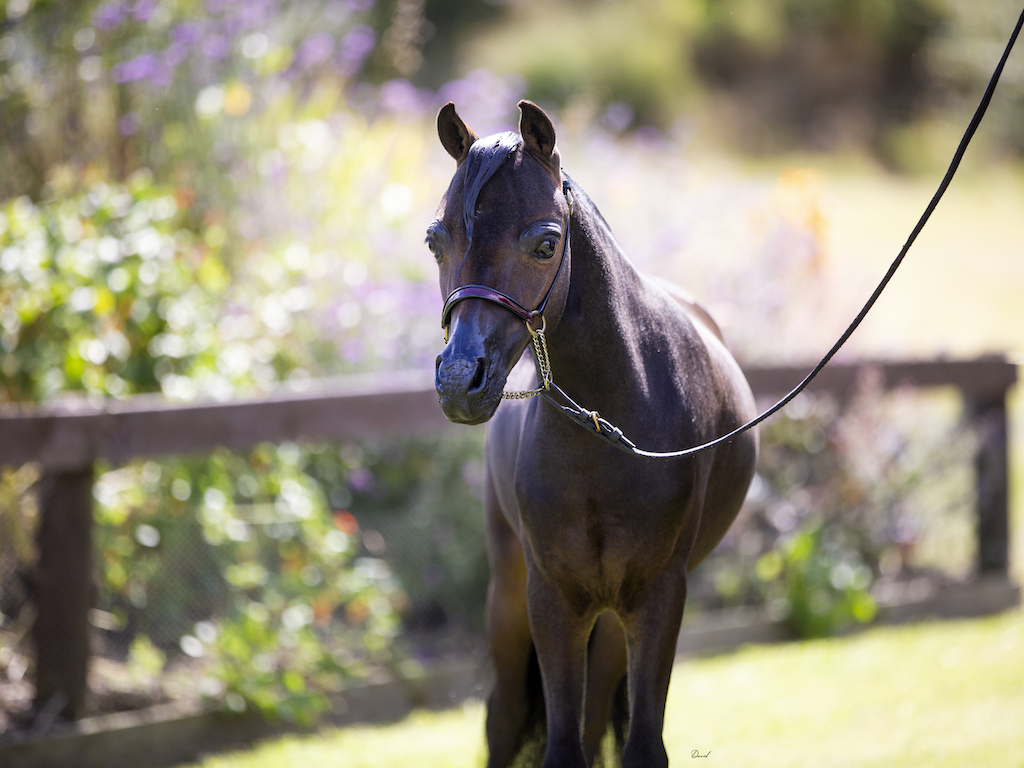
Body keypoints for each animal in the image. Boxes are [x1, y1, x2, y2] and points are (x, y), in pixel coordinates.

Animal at [429, 100, 758, 768]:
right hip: (512, 598)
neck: (605, 437)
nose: (458, 381)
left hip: (610, 619)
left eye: (545, 243)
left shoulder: (659, 597)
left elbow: (635, 746)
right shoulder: (551, 600)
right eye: (434, 240)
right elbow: (557, 747)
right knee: (505, 718)